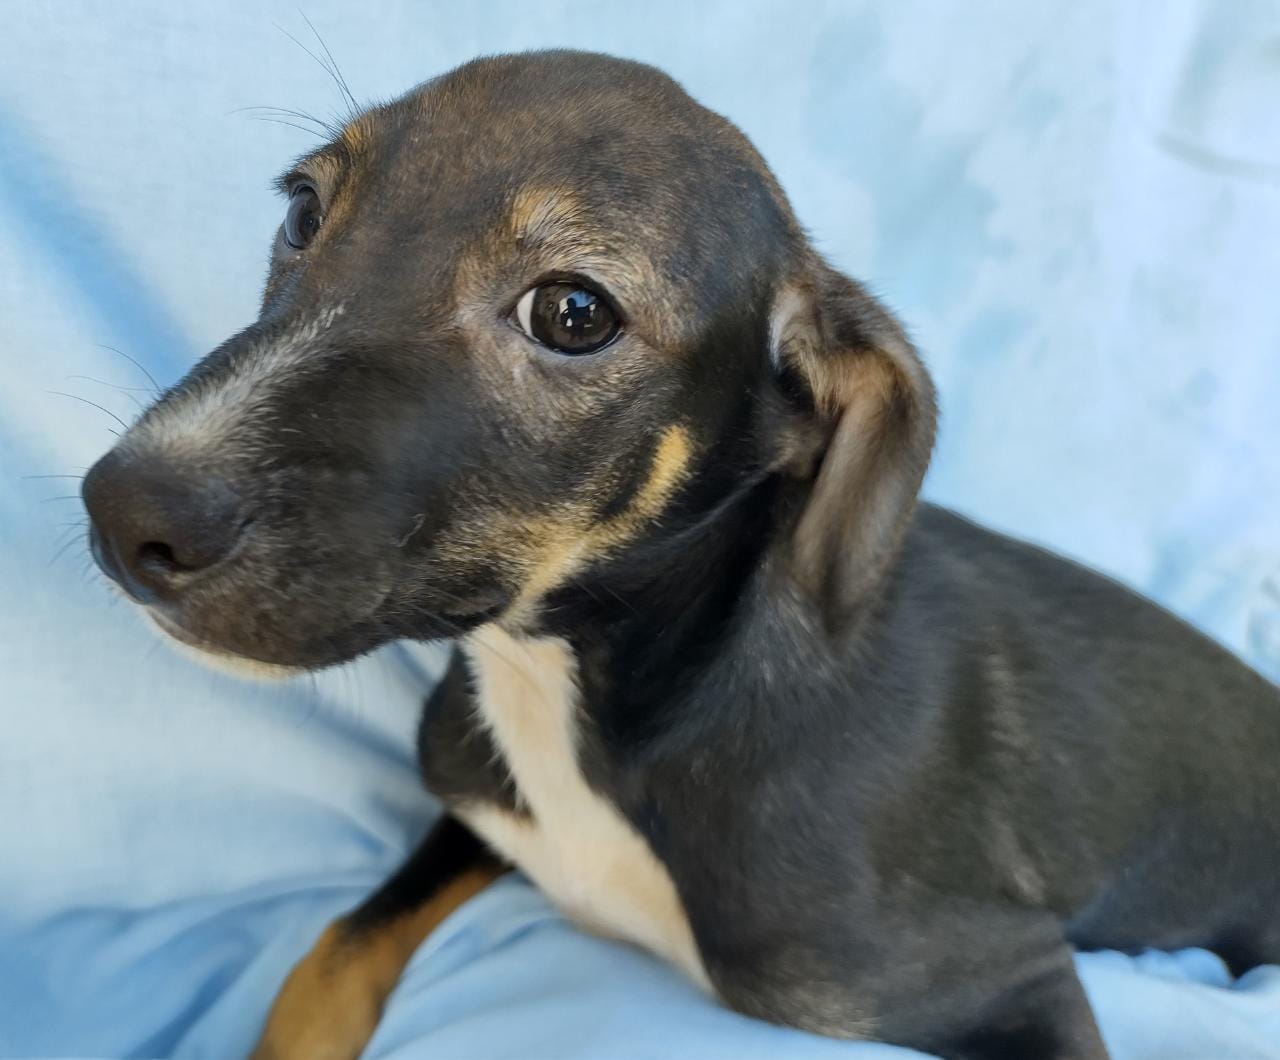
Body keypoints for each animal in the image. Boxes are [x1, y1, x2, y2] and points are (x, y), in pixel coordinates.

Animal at [82, 49, 1280, 1060]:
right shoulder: (473, 809)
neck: (586, 696)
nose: (123, 513)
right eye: (302, 211)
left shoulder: (1011, 980)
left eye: (572, 313)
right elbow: (330, 949)